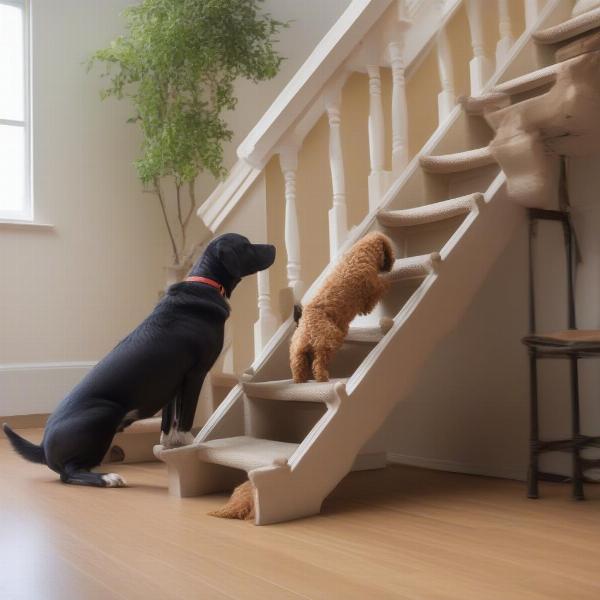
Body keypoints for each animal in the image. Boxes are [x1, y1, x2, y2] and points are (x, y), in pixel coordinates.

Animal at [1, 234, 274, 488]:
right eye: (247, 245)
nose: (273, 246)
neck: (206, 282)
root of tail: (43, 446)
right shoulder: (195, 374)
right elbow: (186, 417)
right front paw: (190, 445)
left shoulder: (172, 381)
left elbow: (169, 421)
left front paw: (171, 445)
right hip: (104, 413)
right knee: (69, 473)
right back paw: (107, 478)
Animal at [290, 232, 394, 382]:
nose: (391, 264)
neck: (361, 253)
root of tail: (306, 332)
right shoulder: (373, 287)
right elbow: (382, 286)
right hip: (329, 340)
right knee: (318, 363)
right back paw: (322, 376)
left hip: (298, 351)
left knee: (298, 365)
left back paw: (300, 379)